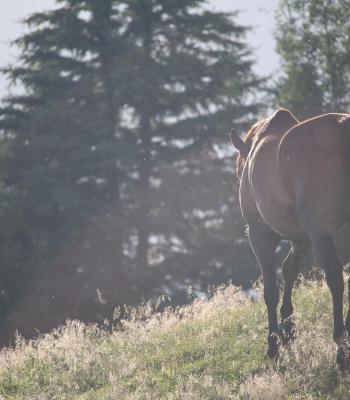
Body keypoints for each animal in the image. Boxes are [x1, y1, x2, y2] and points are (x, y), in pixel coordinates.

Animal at [232, 108, 350, 368]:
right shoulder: (301, 239)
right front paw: (288, 328)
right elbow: (289, 270)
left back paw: (341, 345)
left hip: (320, 231)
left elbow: (270, 289)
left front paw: (273, 343)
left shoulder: (259, 234)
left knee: (334, 277)